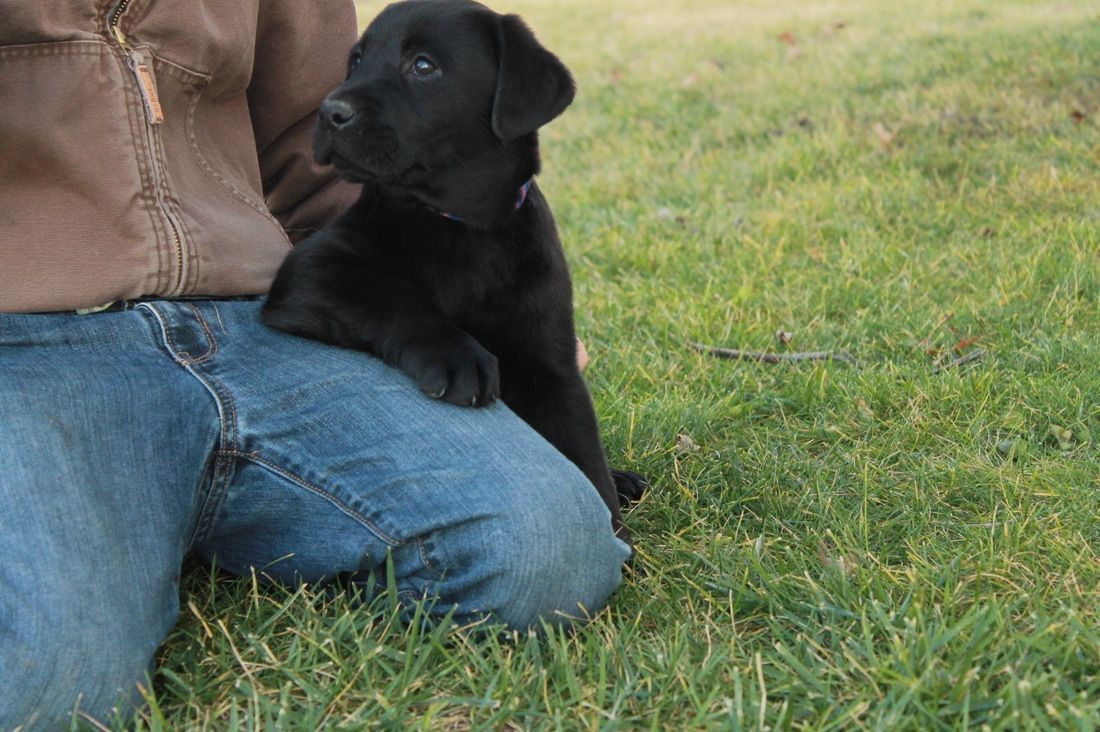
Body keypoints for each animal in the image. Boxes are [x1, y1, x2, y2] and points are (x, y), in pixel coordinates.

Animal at [264, 0, 642, 539]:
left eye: (423, 66)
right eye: (355, 61)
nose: (329, 112)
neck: (462, 225)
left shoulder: (553, 366)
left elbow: (585, 458)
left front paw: (617, 535)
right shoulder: (308, 269)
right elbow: (392, 292)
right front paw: (457, 355)